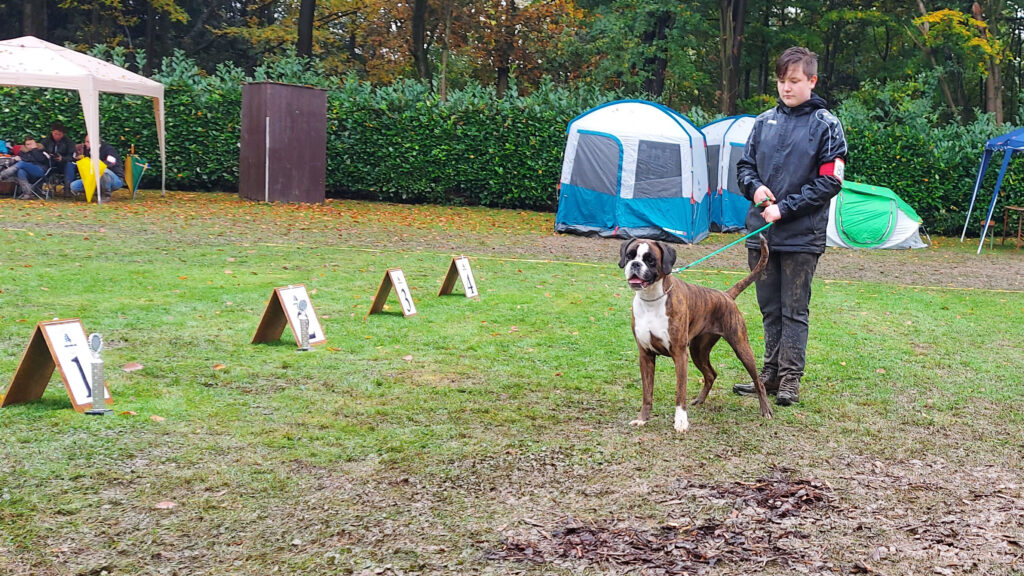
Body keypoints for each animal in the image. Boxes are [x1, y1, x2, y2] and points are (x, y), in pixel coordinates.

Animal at [614, 234, 774, 430]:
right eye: (629, 256)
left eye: (650, 260)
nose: (635, 264)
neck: (652, 299)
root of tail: (726, 295)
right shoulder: (645, 355)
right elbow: (647, 393)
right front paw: (642, 418)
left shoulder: (680, 355)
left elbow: (680, 392)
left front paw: (681, 421)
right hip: (698, 351)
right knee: (711, 374)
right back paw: (699, 400)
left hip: (741, 347)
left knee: (758, 381)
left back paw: (765, 410)